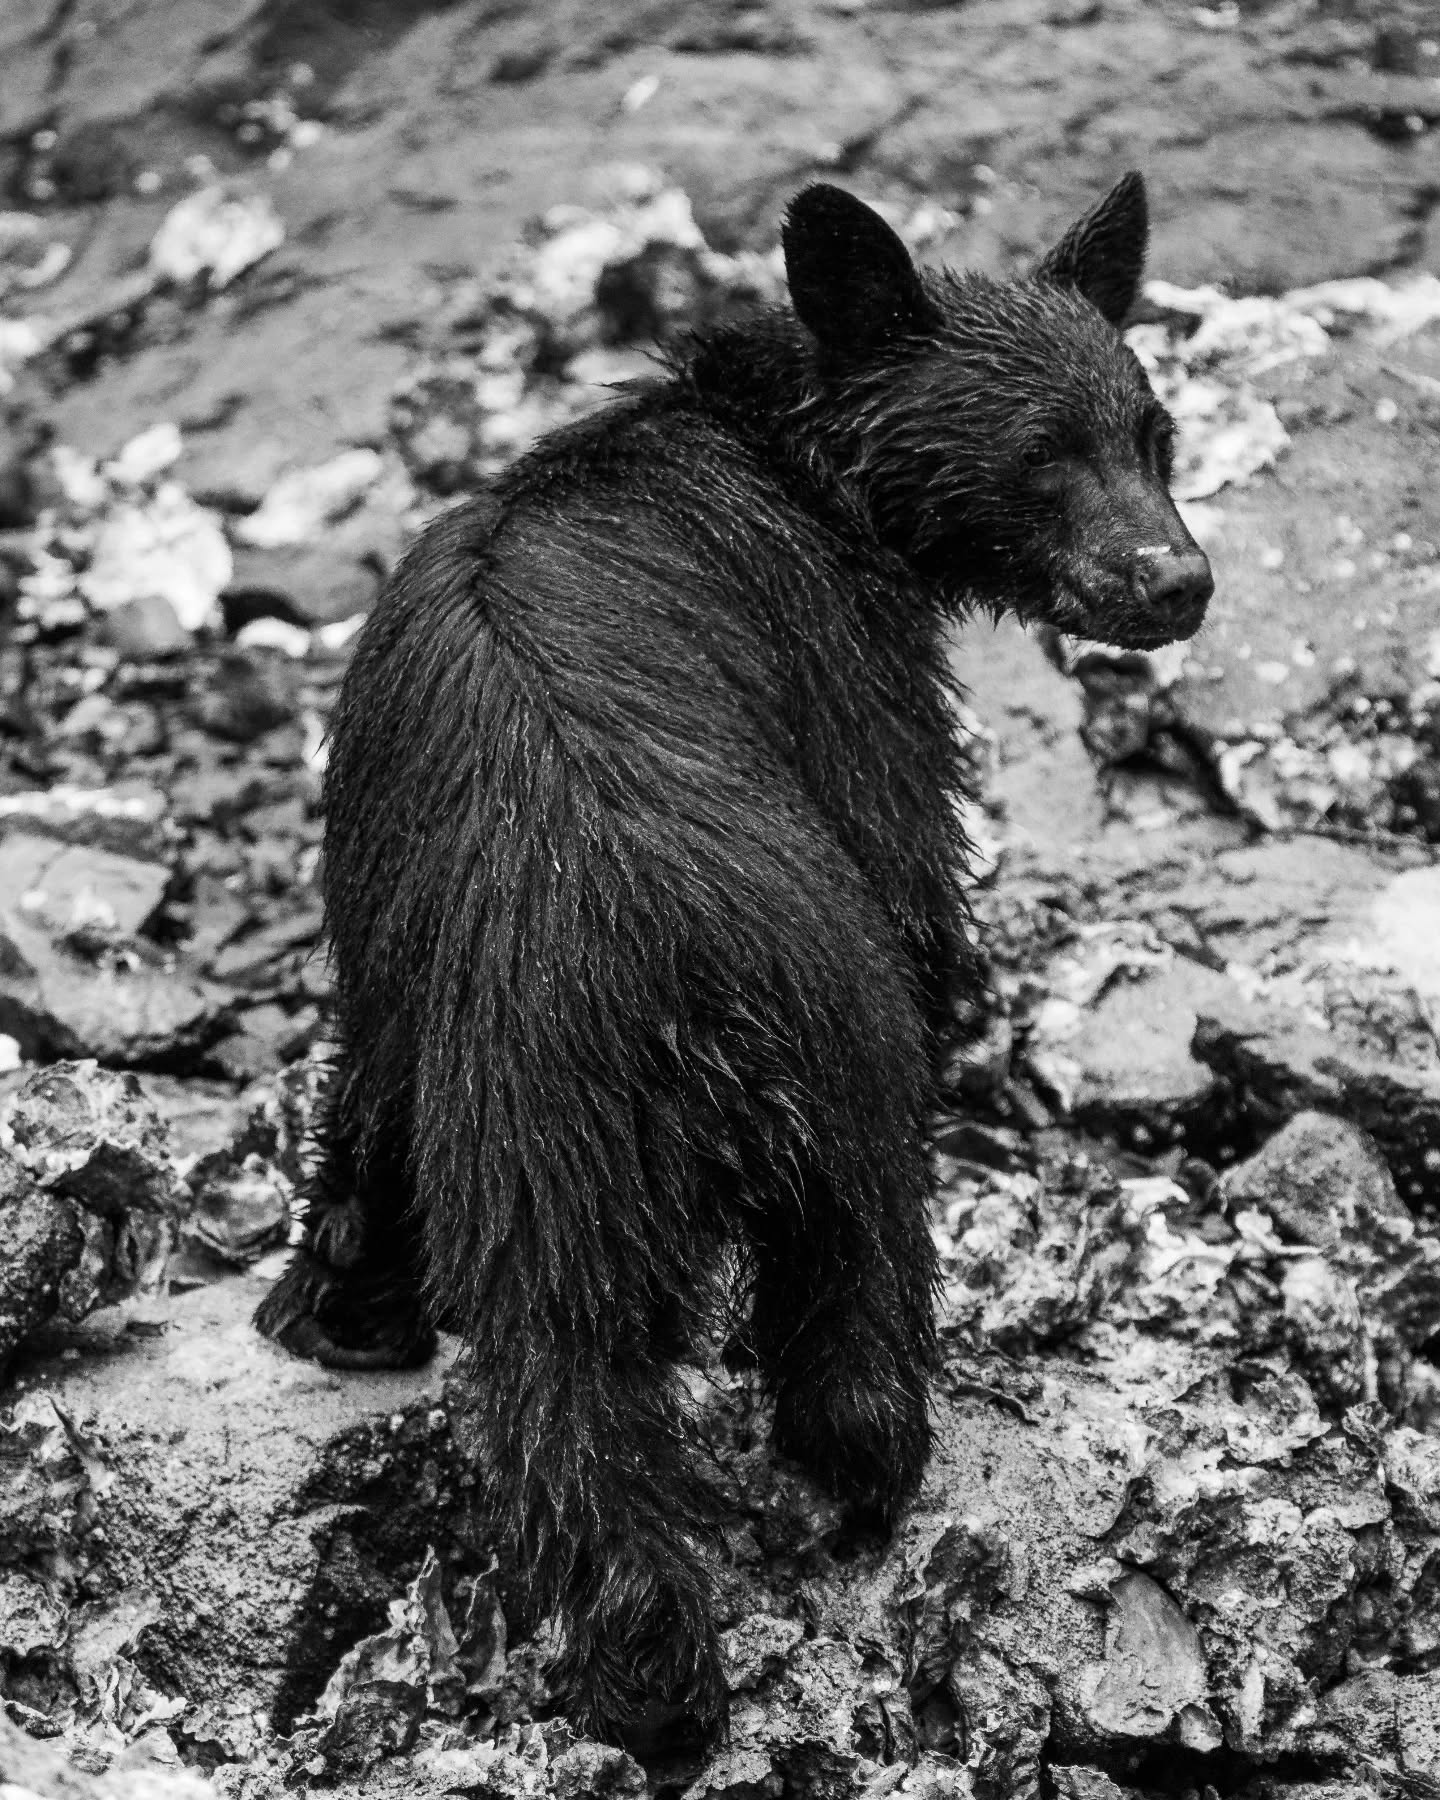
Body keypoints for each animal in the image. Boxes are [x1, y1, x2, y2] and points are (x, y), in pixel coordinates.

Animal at [256, 170, 1212, 1745]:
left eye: (1155, 433)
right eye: (1040, 456)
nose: (1178, 582)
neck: (797, 460)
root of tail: (678, 984)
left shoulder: (395, 933)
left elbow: (366, 1094)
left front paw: (333, 1307)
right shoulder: (849, 676)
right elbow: (915, 869)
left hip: (569, 1133)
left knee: (575, 1388)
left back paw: (649, 1683)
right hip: (808, 1058)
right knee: (833, 1312)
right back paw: (832, 1527)